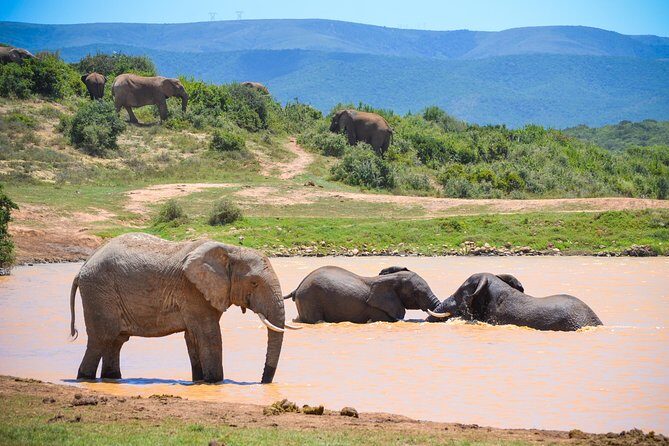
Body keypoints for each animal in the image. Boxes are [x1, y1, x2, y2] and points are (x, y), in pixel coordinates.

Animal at [69, 233, 298, 384]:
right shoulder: (193, 290)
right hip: (99, 292)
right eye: (254, 283)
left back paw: (112, 379)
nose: (262, 382)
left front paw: (199, 381)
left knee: (116, 341)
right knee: (102, 338)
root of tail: (82, 268)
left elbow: (193, 337)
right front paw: (216, 382)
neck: (230, 250)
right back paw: (84, 378)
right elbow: (209, 336)